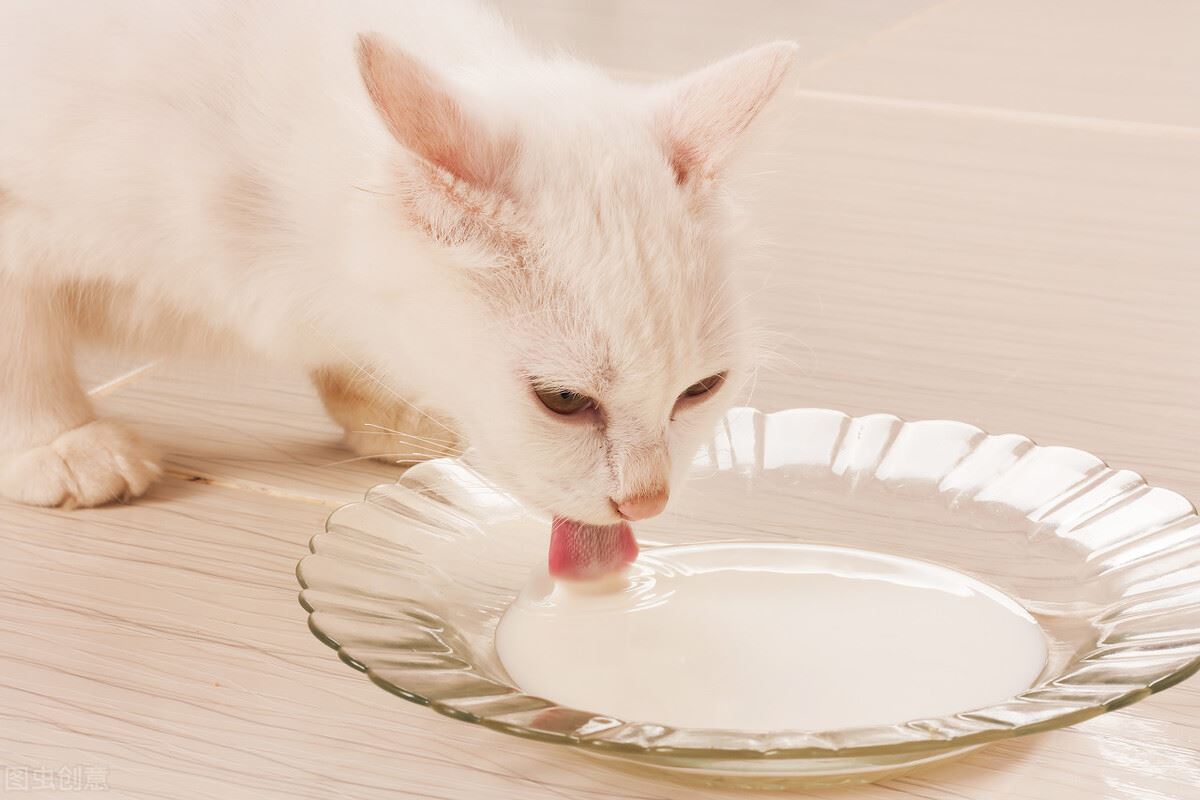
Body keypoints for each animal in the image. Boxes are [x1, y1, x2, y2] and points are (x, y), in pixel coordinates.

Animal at [0, 1, 796, 563]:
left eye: (701, 390)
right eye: (564, 401)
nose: (647, 501)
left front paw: (392, 414)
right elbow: (21, 342)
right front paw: (55, 441)